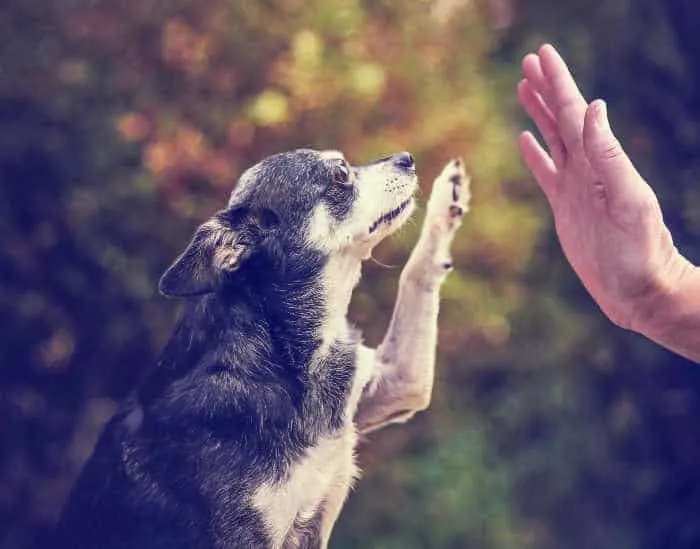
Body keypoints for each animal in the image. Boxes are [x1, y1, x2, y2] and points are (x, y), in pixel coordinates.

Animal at [53, 148, 470, 544]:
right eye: (340, 173)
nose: (406, 158)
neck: (282, 351)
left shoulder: (399, 385)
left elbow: (416, 275)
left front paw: (448, 198)